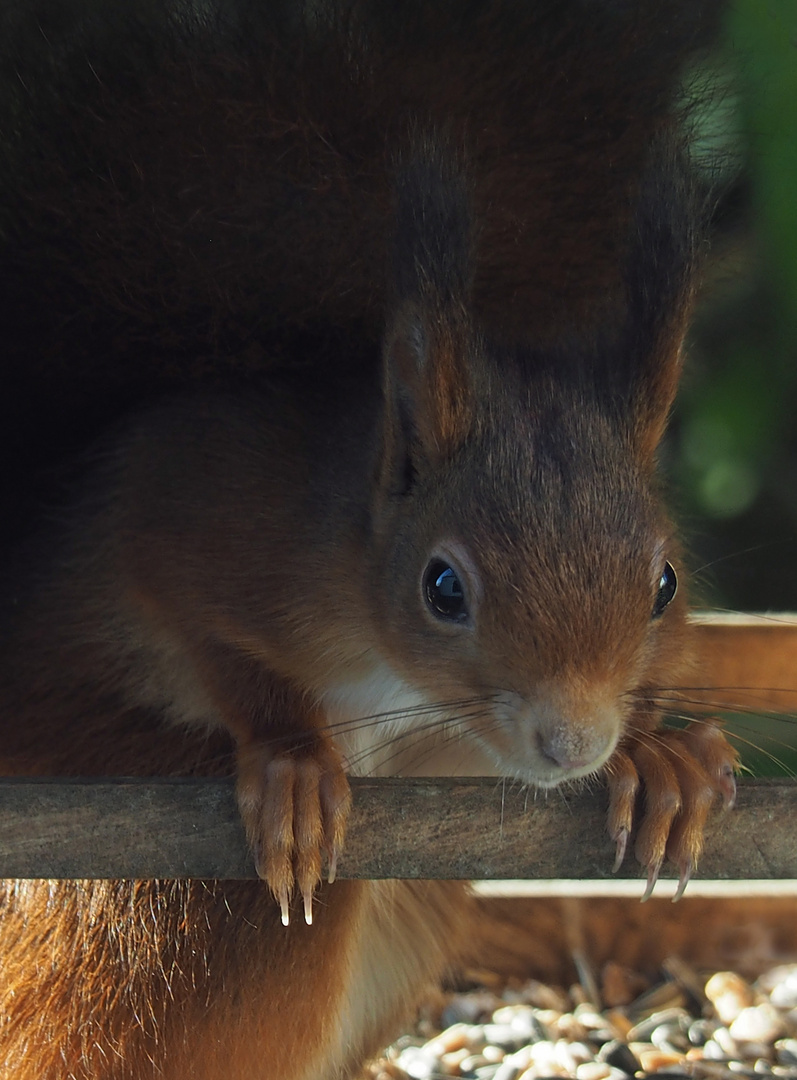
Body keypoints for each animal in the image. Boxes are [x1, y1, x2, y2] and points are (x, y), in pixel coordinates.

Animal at [0, 2, 734, 1080]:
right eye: (442, 588)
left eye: (664, 584)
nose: (573, 744)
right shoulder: (205, 518)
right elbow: (183, 605)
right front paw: (293, 761)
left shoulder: (465, 753)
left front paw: (663, 763)